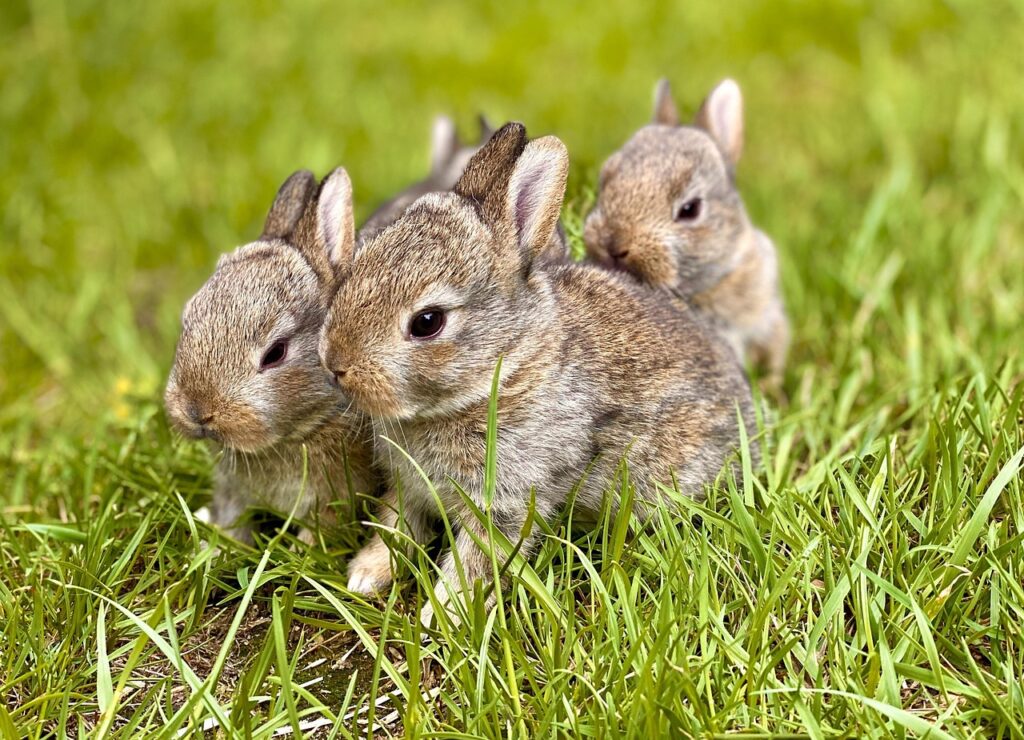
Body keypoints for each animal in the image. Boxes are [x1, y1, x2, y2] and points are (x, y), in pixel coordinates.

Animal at [317, 123, 756, 626]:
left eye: (427, 322)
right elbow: (394, 524)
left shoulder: (506, 502)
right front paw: (365, 576)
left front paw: (441, 616)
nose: (335, 363)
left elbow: (476, 561)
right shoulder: (409, 487)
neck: (499, 374)